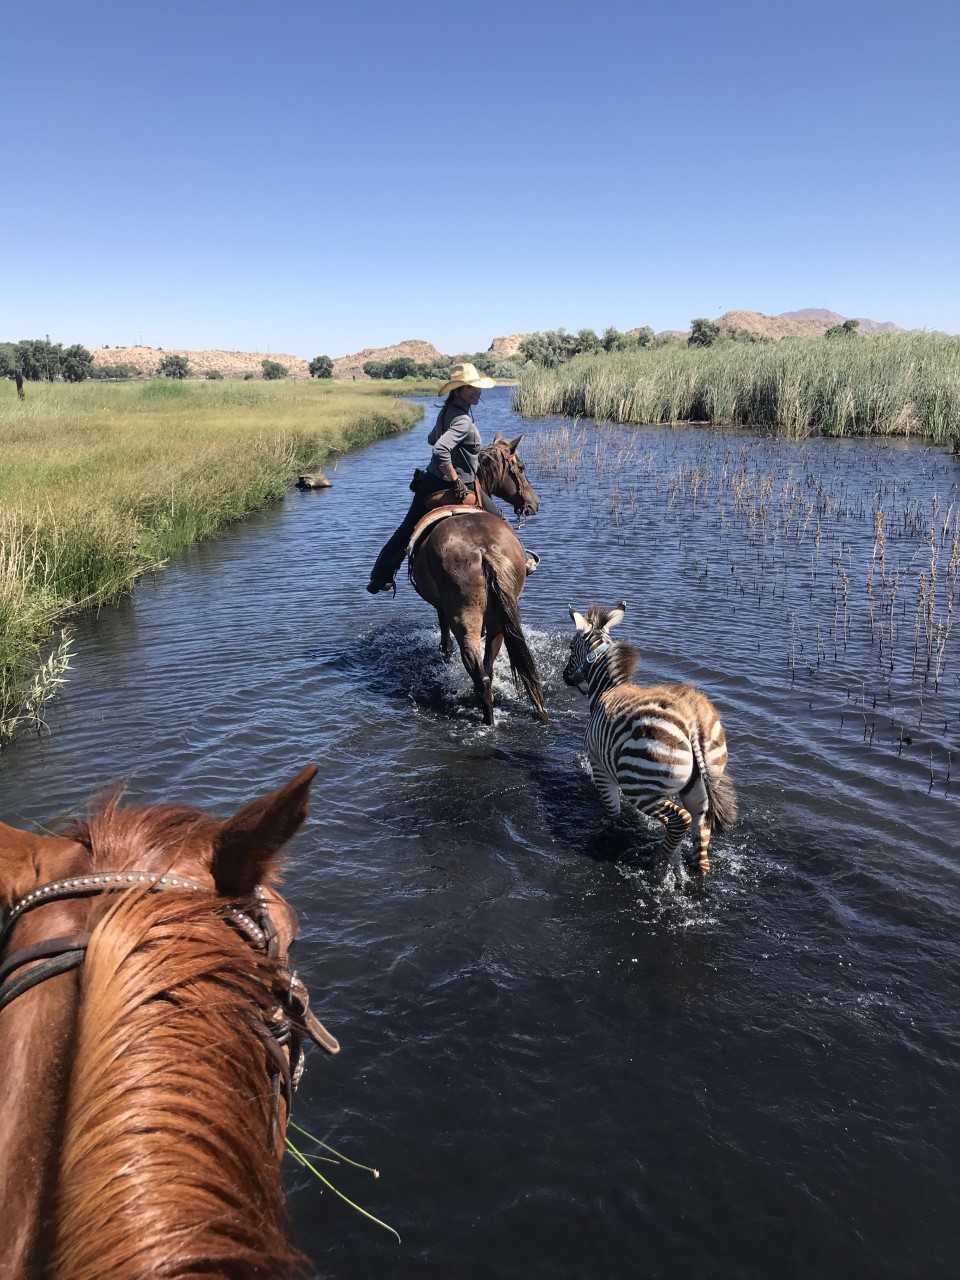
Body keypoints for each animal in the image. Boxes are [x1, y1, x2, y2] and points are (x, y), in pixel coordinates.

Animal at [412, 432, 547, 727]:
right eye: (521, 468)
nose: (534, 504)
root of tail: (485, 550)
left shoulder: (441, 609)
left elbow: (445, 640)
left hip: (467, 618)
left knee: (478, 670)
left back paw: (487, 718)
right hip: (497, 620)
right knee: (489, 667)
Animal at [560, 599, 742, 870]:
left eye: (571, 647)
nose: (564, 676)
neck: (608, 688)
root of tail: (693, 722)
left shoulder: (599, 764)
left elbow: (612, 811)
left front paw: (611, 831)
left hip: (640, 783)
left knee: (681, 819)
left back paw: (658, 861)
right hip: (701, 784)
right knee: (701, 830)